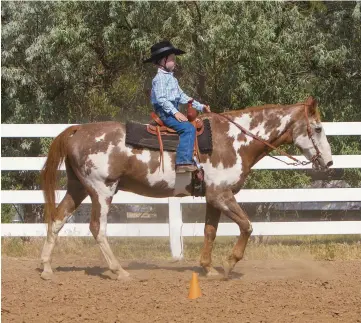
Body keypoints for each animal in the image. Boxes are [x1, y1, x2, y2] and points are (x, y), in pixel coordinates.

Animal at [39, 95, 332, 280]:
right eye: (317, 128)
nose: (328, 162)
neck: (234, 140)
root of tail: (77, 130)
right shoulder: (221, 194)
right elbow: (247, 226)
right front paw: (228, 265)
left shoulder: (213, 197)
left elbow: (210, 232)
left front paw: (208, 268)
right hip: (102, 191)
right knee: (97, 229)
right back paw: (119, 271)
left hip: (78, 189)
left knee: (57, 219)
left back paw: (46, 269)